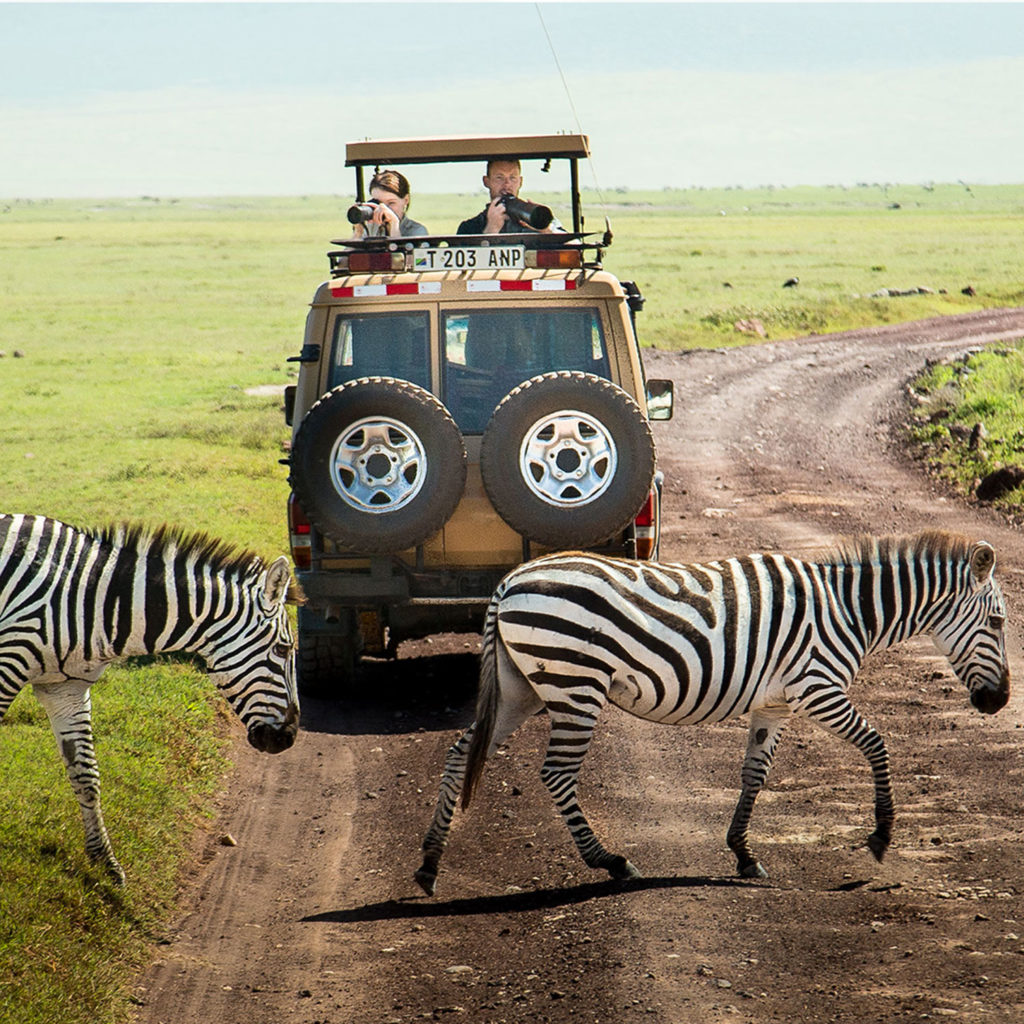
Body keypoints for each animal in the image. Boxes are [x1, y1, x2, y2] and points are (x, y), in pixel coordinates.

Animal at [2, 516, 301, 884]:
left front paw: (105, 861)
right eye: (284, 649)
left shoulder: (65, 689)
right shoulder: (6, 663)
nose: (288, 738)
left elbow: (86, 776)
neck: (95, 599)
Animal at [415, 532, 1007, 892]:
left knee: (460, 754)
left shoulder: (774, 704)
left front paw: (742, 853)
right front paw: (881, 837)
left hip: (521, 688)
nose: (998, 702)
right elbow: (878, 744)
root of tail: (509, 581)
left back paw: (428, 864)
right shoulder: (817, 688)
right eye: (999, 622)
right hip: (576, 684)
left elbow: (754, 774)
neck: (849, 610)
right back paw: (611, 862)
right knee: (556, 773)